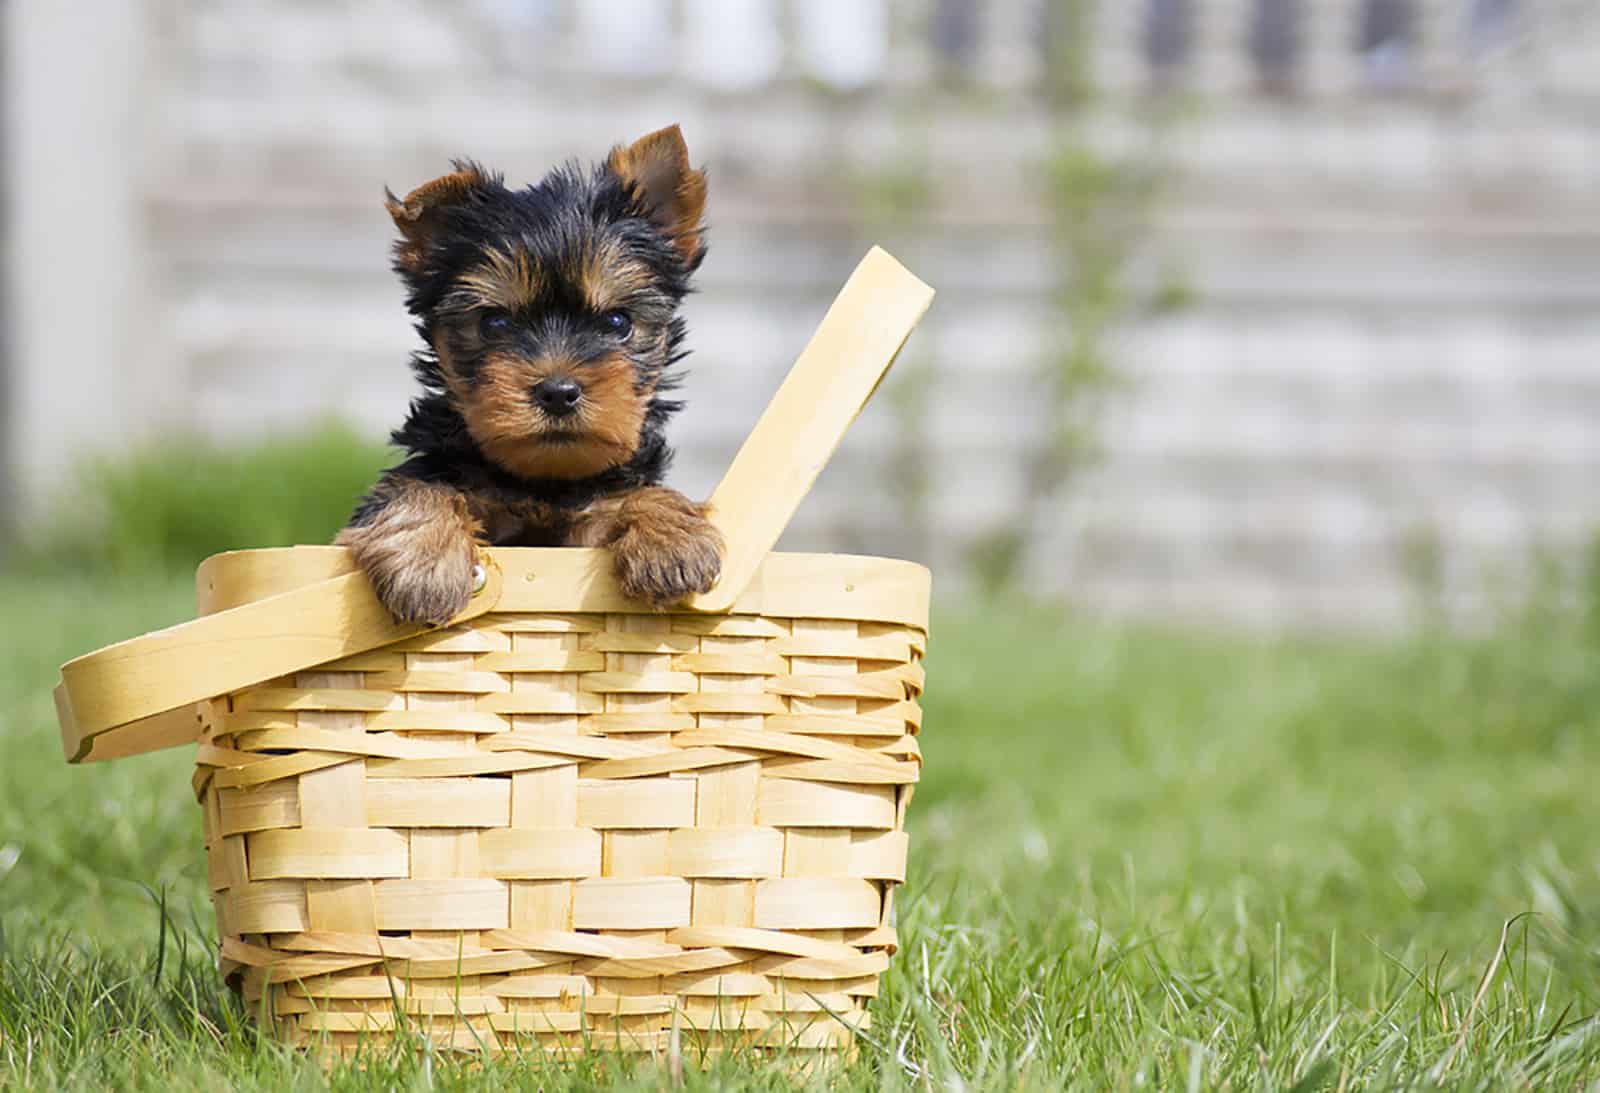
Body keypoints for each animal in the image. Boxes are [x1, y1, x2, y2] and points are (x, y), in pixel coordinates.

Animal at [347, 126, 729, 624]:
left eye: (618, 323)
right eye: (494, 324)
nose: (558, 391)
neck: (543, 481)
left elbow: (637, 491)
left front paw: (671, 538)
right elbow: (415, 484)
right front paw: (424, 564)